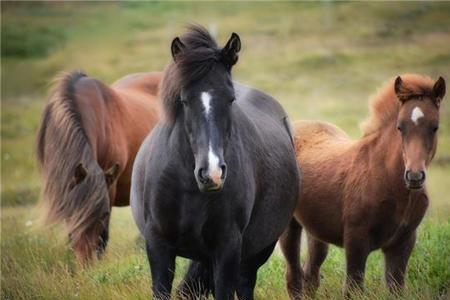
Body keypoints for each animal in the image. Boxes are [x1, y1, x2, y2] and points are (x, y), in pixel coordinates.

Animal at [130, 25, 298, 300]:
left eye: (230, 99)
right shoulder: (158, 245)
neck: (188, 187)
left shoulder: (227, 249)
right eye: (184, 100)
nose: (212, 174)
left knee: (244, 284)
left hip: (255, 253)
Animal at [282, 73, 446, 298]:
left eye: (435, 127)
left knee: (311, 275)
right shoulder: (356, 240)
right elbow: (353, 288)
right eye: (400, 127)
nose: (414, 177)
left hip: (315, 229)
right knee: (294, 277)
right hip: (289, 226)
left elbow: (396, 288)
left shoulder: (403, 242)